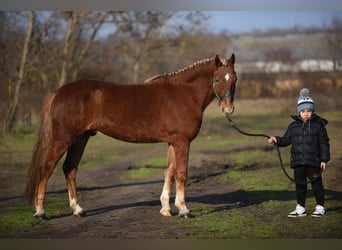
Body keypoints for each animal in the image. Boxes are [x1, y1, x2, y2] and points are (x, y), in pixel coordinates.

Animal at [25, 53, 236, 219]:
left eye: (234, 79)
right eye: (217, 80)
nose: (228, 110)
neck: (183, 93)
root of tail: (58, 92)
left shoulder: (172, 142)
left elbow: (169, 172)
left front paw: (166, 208)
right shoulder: (182, 141)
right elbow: (181, 173)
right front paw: (184, 210)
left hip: (80, 138)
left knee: (70, 168)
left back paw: (78, 209)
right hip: (64, 138)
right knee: (46, 167)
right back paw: (40, 211)